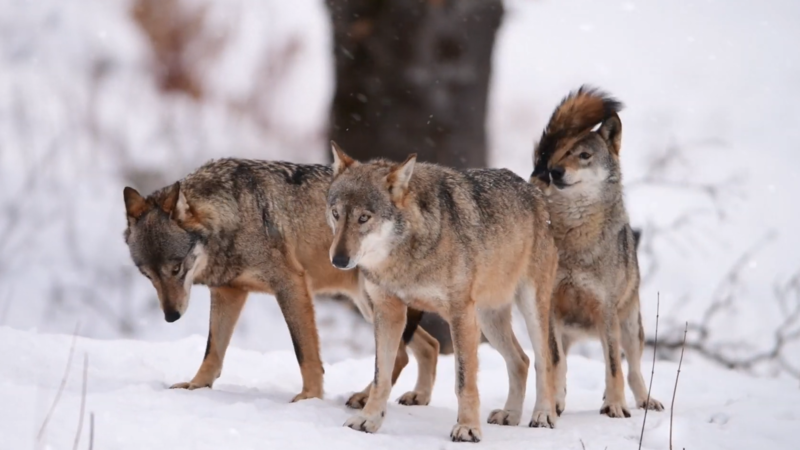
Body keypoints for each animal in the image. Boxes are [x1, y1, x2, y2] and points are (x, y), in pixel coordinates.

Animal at [122, 160, 440, 406]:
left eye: (175, 268)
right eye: (149, 276)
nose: (171, 316)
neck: (236, 215)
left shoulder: (290, 284)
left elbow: (305, 352)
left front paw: (309, 397)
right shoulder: (228, 291)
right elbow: (212, 350)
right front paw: (195, 386)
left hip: (372, 305)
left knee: (402, 354)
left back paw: (366, 398)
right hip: (372, 307)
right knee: (427, 346)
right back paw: (411, 397)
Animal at [324, 145, 556, 442]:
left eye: (364, 217)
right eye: (336, 213)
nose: (338, 260)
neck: (407, 252)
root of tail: (533, 190)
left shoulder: (460, 315)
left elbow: (464, 382)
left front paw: (467, 428)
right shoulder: (388, 312)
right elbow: (381, 377)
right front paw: (369, 420)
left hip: (529, 309)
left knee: (543, 361)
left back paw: (543, 415)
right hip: (488, 320)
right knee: (521, 360)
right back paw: (510, 415)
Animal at [528, 86, 664, 416]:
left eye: (584, 156)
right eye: (558, 153)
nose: (554, 172)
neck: (576, 237)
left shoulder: (606, 311)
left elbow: (614, 366)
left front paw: (615, 406)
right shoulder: (551, 309)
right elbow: (555, 362)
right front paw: (552, 404)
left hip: (630, 326)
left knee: (633, 368)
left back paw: (644, 400)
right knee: (560, 362)